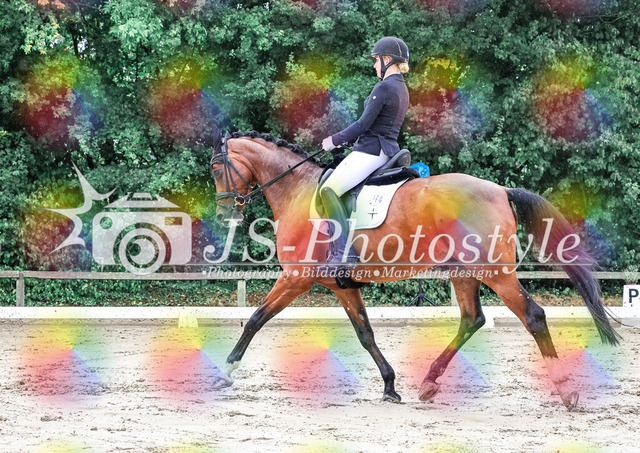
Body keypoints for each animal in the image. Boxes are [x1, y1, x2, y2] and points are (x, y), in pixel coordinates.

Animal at [209, 130, 619, 410]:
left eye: (216, 169)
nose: (224, 211)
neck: (298, 191)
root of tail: (500, 190)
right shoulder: (343, 286)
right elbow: (366, 334)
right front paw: (390, 386)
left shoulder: (297, 277)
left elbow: (255, 319)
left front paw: (224, 372)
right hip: (465, 272)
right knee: (472, 318)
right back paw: (428, 383)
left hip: (495, 273)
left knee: (532, 316)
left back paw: (567, 391)